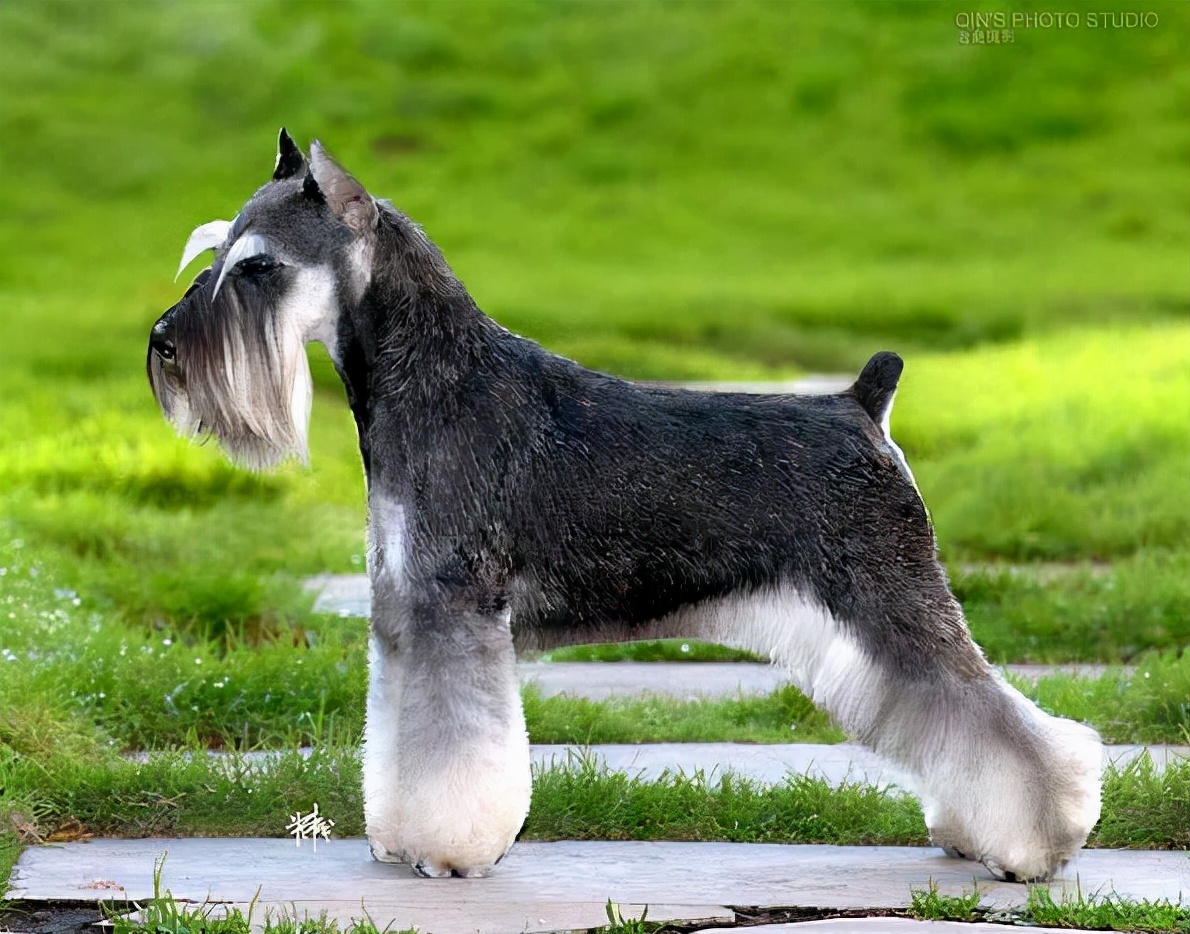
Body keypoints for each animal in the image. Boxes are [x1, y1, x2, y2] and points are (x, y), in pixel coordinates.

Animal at [151, 129, 1104, 880]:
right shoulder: (406, 611)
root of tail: (861, 405)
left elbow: (451, 748)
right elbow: (400, 731)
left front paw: (448, 852)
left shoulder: (453, 611)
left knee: (996, 717)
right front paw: (395, 838)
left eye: (258, 268)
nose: (162, 343)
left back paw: (1039, 845)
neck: (436, 381)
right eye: (214, 254)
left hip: (889, 598)